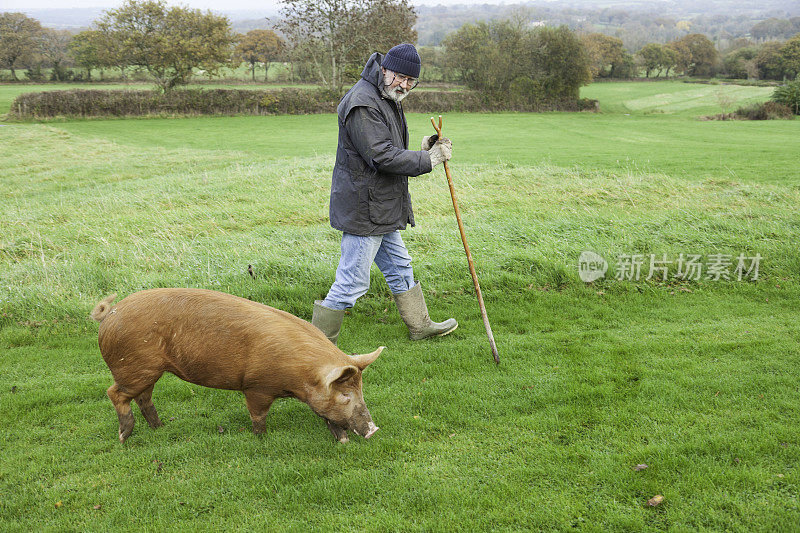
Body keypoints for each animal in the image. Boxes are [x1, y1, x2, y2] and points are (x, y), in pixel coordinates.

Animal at [89, 288, 382, 442]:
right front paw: (262, 438)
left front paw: (342, 440)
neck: (299, 374)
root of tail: (109, 315)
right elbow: (258, 415)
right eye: (345, 394)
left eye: (361, 391)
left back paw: (159, 428)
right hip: (134, 368)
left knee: (143, 398)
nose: (372, 430)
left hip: (149, 371)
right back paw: (124, 436)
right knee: (114, 393)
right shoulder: (256, 386)